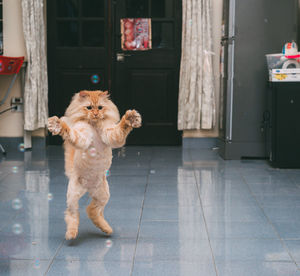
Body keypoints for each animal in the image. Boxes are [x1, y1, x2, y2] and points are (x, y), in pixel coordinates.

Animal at [47, 90, 141, 239]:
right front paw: (57, 124)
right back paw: (71, 234)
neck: (95, 125)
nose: (96, 114)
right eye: (89, 108)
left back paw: (106, 229)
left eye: (100, 108)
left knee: (92, 210)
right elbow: (70, 132)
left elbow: (121, 128)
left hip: (103, 195)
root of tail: (88, 188)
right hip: (73, 197)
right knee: (73, 215)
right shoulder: (82, 137)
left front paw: (131, 118)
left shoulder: (111, 134)